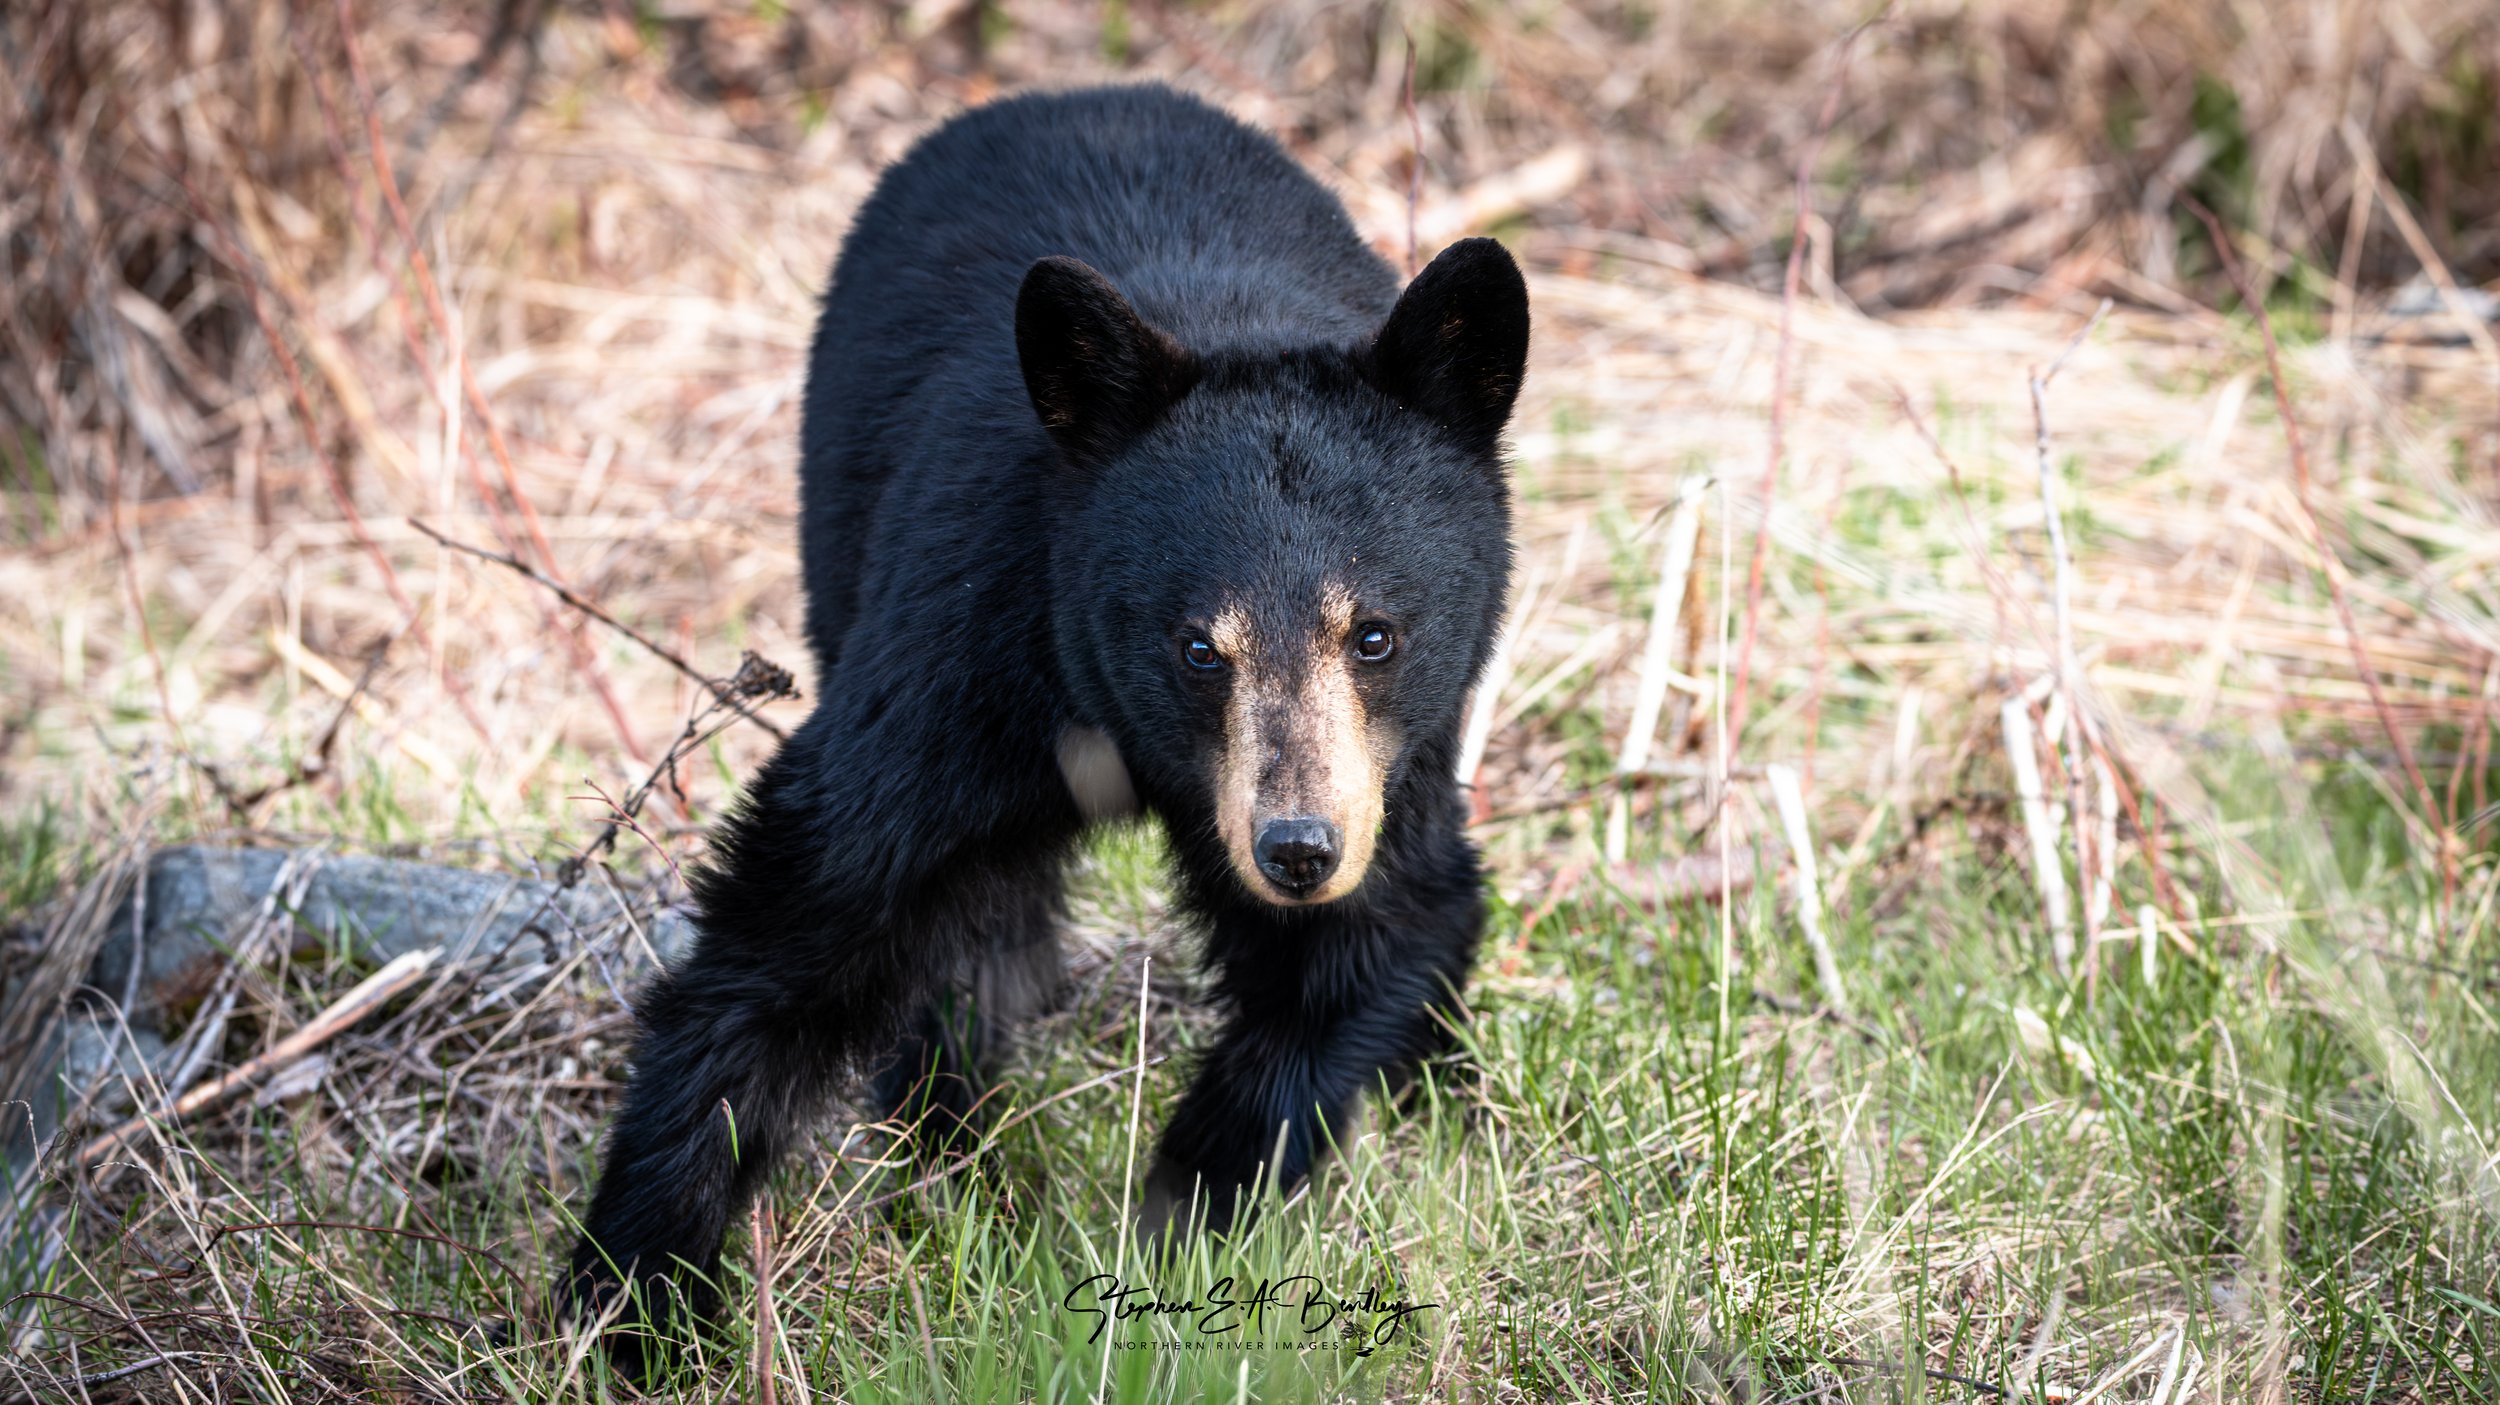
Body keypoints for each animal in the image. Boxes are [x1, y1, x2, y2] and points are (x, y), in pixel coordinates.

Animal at [561, 83, 1528, 1358]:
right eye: (1195, 644)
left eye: (1374, 633)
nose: (1295, 850)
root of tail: (1070, 92)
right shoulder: (970, 637)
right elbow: (807, 914)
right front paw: (633, 1297)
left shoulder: (1386, 769)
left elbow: (1371, 941)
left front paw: (1172, 1225)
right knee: (976, 939)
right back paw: (954, 1145)